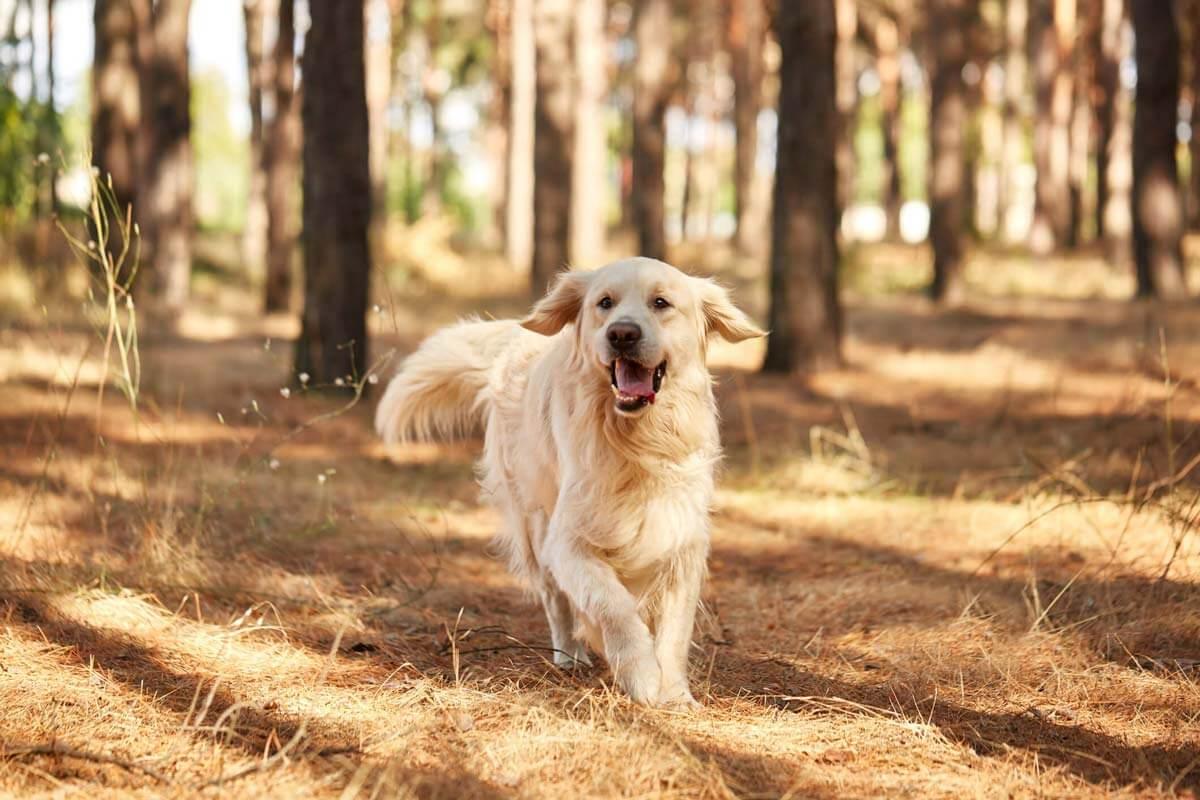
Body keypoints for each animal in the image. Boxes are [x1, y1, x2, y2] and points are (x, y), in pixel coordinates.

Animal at [374, 257, 763, 705]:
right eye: (604, 303)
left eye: (661, 303)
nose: (622, 334)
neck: (635, 441)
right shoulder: (568, 541)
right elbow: (613, 605)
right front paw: (642, 676)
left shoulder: (681, 539)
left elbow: (674, 630)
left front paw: (675, 692)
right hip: (534, 522)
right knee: (554, 596)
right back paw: (569, 655)